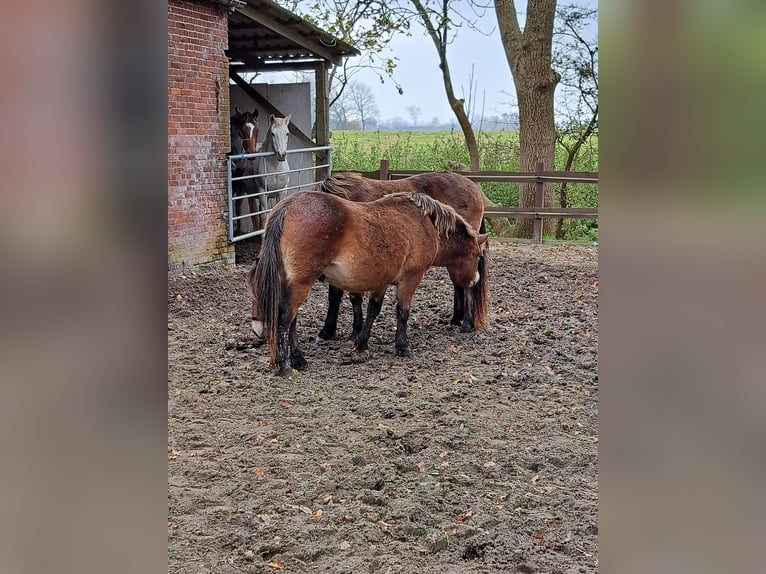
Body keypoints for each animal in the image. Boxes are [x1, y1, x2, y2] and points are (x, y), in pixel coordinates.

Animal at [252, 190, 492, 378]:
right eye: (476, 255)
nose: (475, 280)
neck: (423, 222)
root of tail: (287, 207)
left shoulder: (381, 281)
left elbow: (372, 310)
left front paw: (361, 342)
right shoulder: (411, 278)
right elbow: (402, 312)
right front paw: (402, 346)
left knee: (291, 320)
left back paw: (299, 359)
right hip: (302, 282)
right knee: (285, 318)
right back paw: (285, 365)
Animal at [318, 171, 492, 342]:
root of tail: (472, 185)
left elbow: (351, 298)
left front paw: (352, 332)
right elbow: (335, 296)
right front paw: (328, 331)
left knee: (468, 286)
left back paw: (466, 323)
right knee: (459, 283)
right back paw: (457, 318)